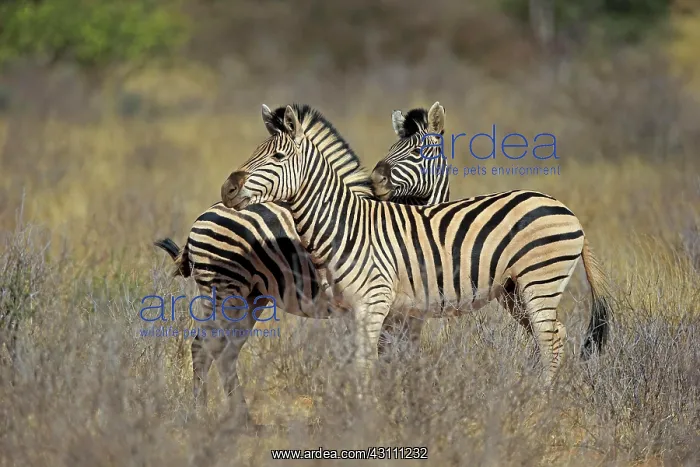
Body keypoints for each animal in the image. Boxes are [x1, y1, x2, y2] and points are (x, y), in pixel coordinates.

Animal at [220, 103, 613, 391]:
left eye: (278, 158)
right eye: (256, 152)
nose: (227, 188)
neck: (345, 224)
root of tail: (565, 208)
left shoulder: (375, 304)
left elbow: (367, 364)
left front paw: (367, 416)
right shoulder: (367, 310)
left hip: (539, 281)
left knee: (550, 338)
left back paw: (541, 400)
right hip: (514, 290)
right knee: (552, 335)